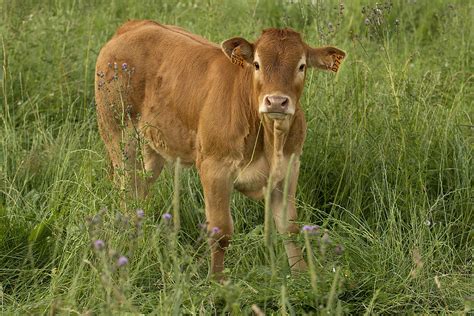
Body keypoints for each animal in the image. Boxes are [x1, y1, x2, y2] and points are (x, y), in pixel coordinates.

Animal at [94, 19, 346, 276]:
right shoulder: (214, 169)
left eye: (301, 66)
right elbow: (221, 232)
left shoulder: (289, 168)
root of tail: (136, 25)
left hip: (152, 146)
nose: (276, 101)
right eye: (257, 64)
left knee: (140, 188)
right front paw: (217, 280)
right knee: (127, 189)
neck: (269, 139)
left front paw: (301, 274)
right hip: (117, 136)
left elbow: (290, 227)